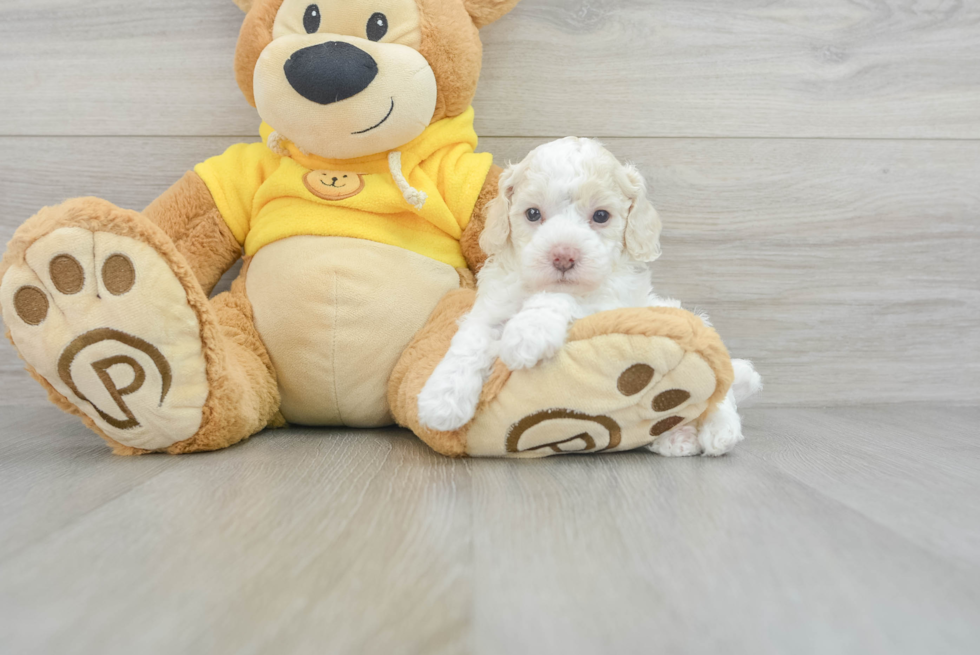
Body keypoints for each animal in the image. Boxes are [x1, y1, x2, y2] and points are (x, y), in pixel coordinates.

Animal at [414, 138, 756, 456]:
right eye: (533, 213)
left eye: (601, 215)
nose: (564, 256)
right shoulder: (491, 307)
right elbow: (469, 342)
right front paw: (441, 399)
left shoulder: (609, 302)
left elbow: (563, 298)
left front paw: (529, 331)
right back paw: (677, 438)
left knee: (720, 390)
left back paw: (719, 430)